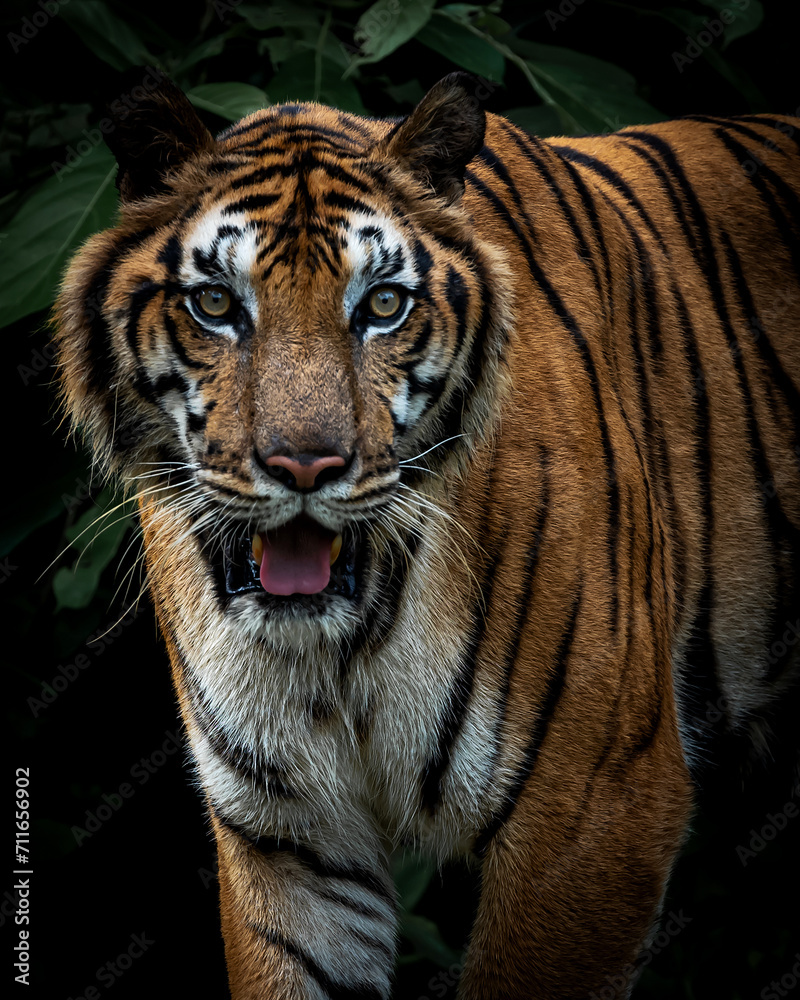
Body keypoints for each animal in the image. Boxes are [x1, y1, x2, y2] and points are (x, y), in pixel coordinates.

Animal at [52, 69, 800, 998]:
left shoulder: (596, 810)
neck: (340, 645)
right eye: (217, 303)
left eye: (381, 305)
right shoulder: (289, 837)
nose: (304, 466)